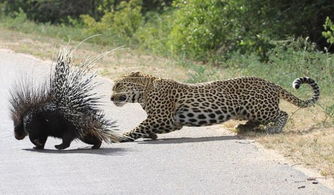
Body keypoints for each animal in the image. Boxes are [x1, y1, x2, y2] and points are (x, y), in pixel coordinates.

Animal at [111, 71, 320, 142]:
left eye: (118, 85)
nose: (111, 97)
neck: (143, 93)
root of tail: (271, 83)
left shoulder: (163, 117)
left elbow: (139, 126)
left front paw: (121, 136)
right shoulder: (171, 122)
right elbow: (145, 127)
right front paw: (150, 135)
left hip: (259, 108)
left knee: (282, 113)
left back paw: (274, 129)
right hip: (247, 110)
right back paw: (244, 127)